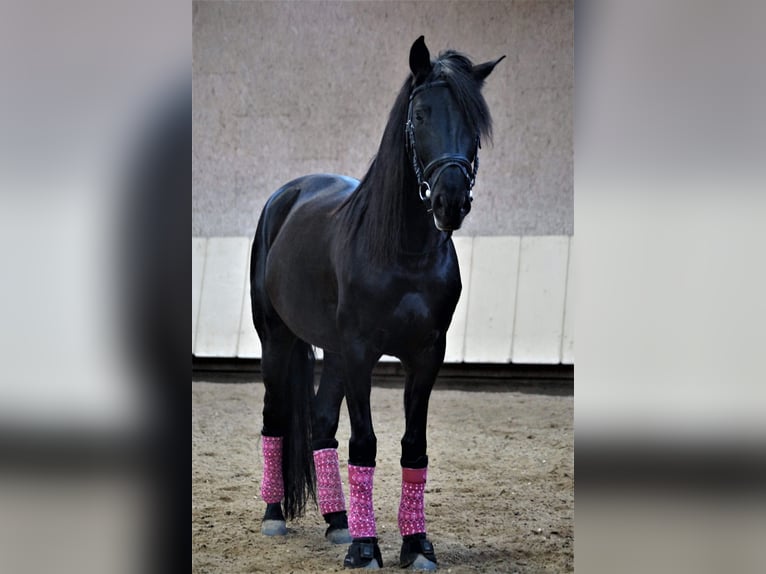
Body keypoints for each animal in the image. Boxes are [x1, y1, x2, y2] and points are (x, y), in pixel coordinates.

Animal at [250, 37, 504, 572]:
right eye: (421, 114)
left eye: (474, 123)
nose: (451, 201)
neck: (402, 250)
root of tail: (286, 195)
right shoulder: (361, 351)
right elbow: (364, 443)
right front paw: (368, 549)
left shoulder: (426, 354)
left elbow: (414, 447)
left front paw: (417, 545)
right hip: (277, 340)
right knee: (275, 416)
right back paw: (275, 515)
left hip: (332, 353)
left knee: (321, 424)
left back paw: (338, 522)